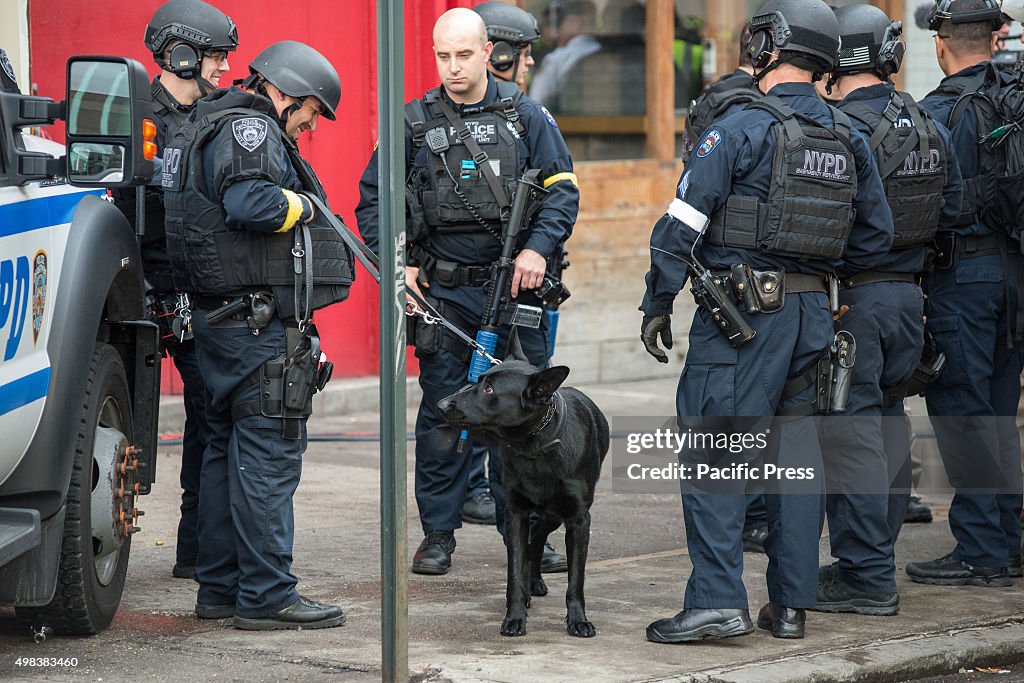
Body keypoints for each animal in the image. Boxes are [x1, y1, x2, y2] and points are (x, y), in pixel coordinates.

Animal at [438, 333, 606, 638]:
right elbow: (515, 571)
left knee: (537, 539)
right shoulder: (515, 513)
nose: (442, 405)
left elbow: (576, 580)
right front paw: (515, 616)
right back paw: (531, 587)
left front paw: (578, 620)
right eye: (480, 380)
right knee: (532, 543)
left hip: (554, 514)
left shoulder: (578, 520)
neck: (536, 443)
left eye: (489, 389)